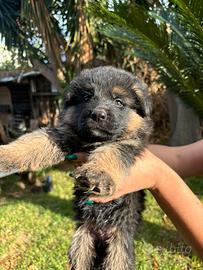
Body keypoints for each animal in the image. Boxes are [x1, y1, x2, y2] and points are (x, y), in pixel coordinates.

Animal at [0, 66, 152, 268]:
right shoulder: (63, 135)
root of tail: (101, 232)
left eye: (118, 102)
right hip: (81, 244)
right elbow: (33, 141)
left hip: (118, 252)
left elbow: (110, 151)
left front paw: (98, 173)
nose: (98, 114)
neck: (93, 141)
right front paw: (6, 154)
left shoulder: (127, 144)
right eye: (87, 97)